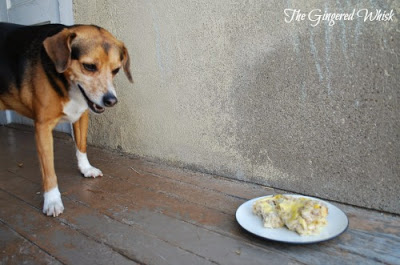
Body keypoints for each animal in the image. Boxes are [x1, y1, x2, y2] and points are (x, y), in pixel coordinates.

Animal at [0, 22, 134, 217]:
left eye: (116, 70)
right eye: (89, 67)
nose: (111, 101)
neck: (68, 83)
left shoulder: (81, 115)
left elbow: (81, 146)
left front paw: (85, 168)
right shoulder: (43, 127)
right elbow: (48, 170)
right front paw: (52, 200)